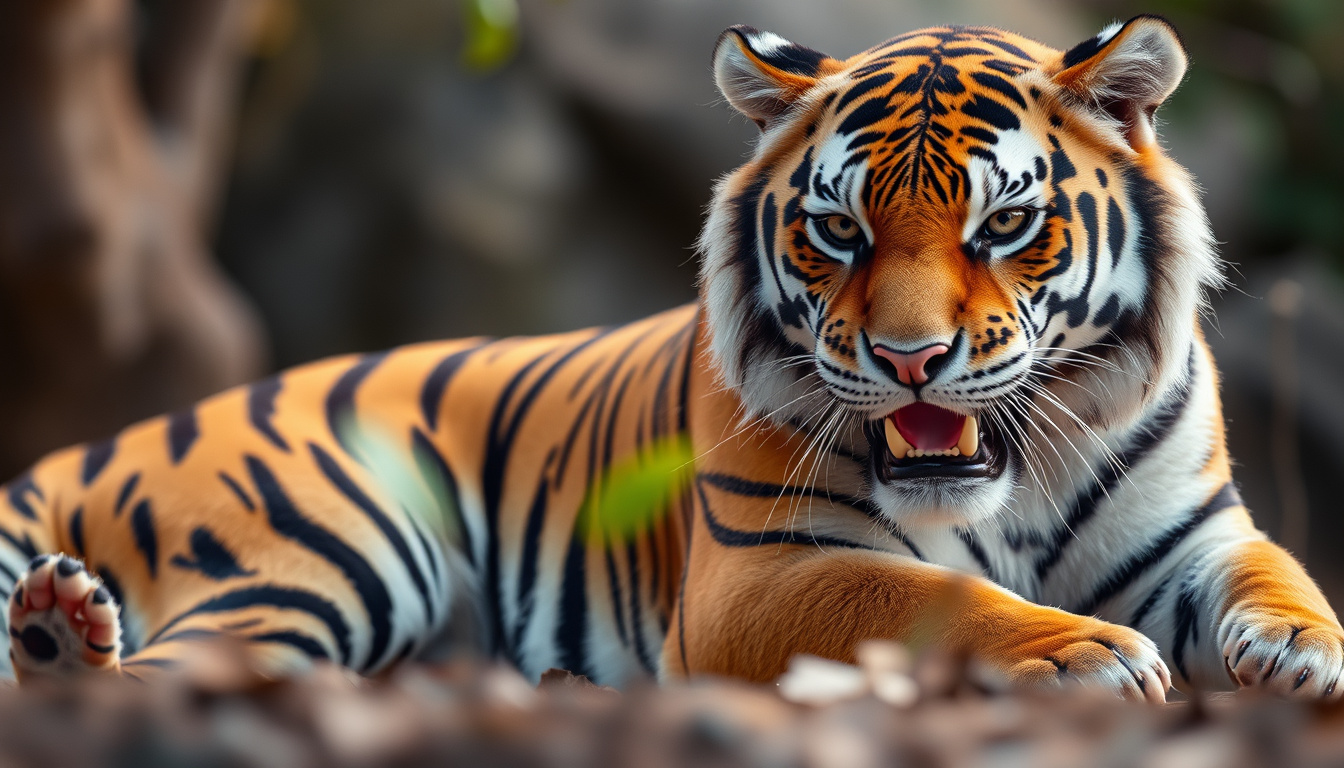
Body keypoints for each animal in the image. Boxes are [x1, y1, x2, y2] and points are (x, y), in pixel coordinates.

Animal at [0, 15, 1339, 702]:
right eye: (839, 231)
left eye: (1002, 225)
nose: (911, 360)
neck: (1014, 482)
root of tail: (118, 434)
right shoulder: (760, 576)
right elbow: (928, 595)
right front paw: (1082, 651)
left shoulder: (1197, 532)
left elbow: (1280, 575)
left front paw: (1303, 652)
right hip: (333, 548)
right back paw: (66, 645)